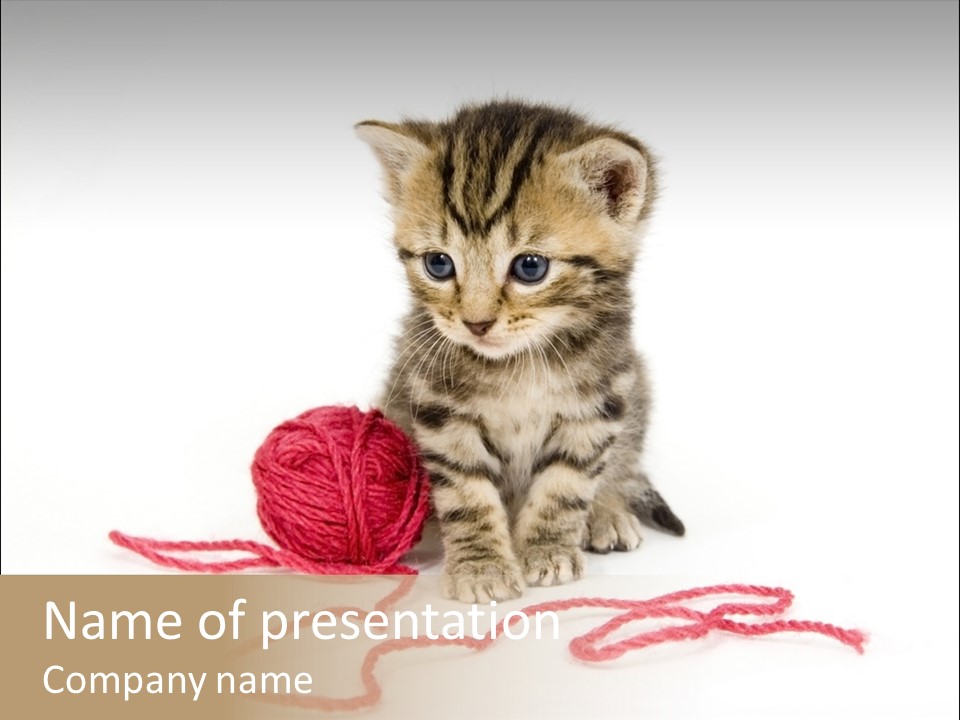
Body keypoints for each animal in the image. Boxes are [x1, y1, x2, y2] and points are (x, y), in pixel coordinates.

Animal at [358, 98, 684, 600]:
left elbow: (566, 485)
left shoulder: (599, 403)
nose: (476, 323)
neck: (519, 362)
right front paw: (481, 567)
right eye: (438, 264)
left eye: (530, 267)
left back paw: (608, 511)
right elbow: (466, 492)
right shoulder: (437, 405)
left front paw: (548, 551)